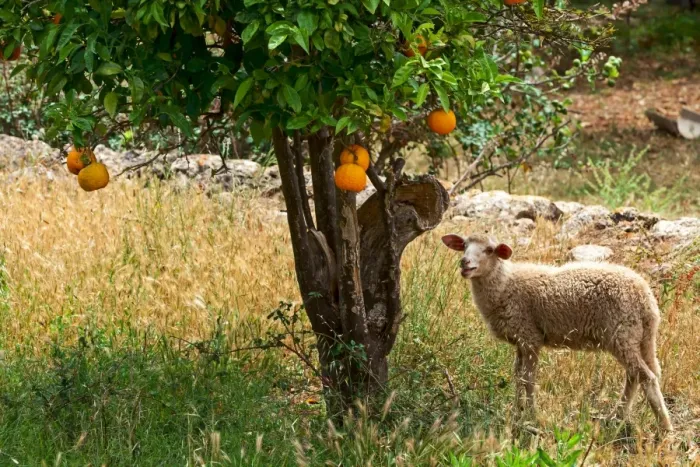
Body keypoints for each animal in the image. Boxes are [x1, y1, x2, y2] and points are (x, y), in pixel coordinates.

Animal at [441, 233, 673, 432]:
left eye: (489, 250)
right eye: (464, 245)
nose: (465, 263)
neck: (505, 284)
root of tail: (646, 299)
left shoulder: (530, 337)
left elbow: (528, 379)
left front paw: (531, 415)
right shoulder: (520, 340)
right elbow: (517, 375)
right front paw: (517, 410)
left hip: (622, 334)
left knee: (646, 376)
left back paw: (664, 426)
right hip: (637, 338)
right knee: (637, 374)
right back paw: (618, 416)